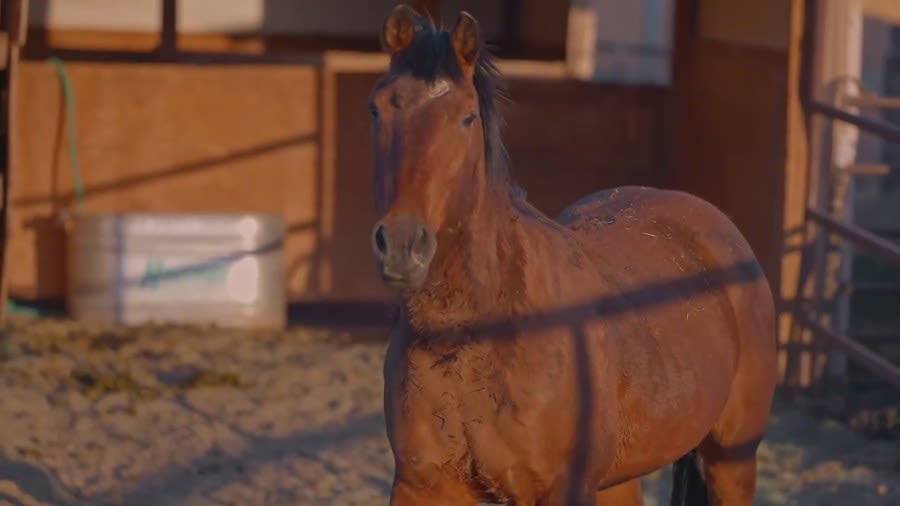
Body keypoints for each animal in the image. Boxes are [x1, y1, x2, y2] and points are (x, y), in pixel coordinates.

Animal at [370, 4, 776, 506]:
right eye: (376, 108)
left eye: (466, 118)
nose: (402, 245)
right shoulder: (420, 486)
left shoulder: (564, 488)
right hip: (621, 478)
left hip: (731, 460)